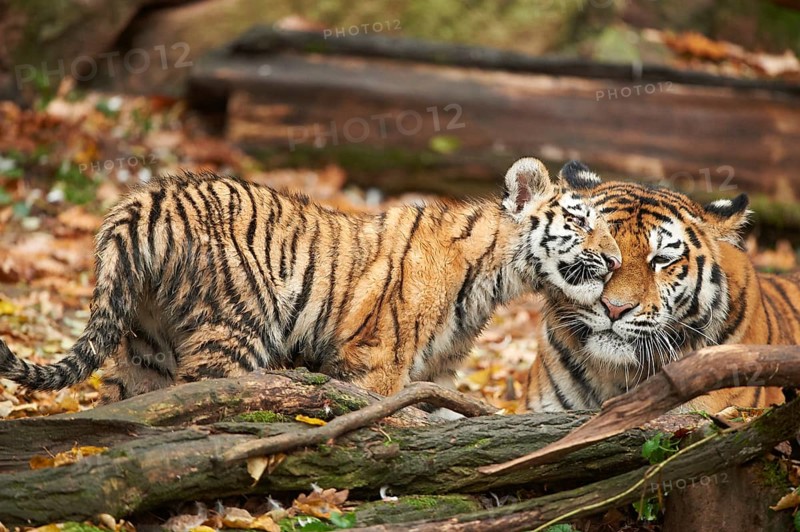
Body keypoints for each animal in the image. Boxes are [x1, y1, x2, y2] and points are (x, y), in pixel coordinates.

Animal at [0, 157, 622, 403]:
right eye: (579, 223)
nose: (616, 261)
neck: (498, 275)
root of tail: (145, 199)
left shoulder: (435, 371)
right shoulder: (378, 363)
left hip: (146, 346)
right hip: (234, 333)